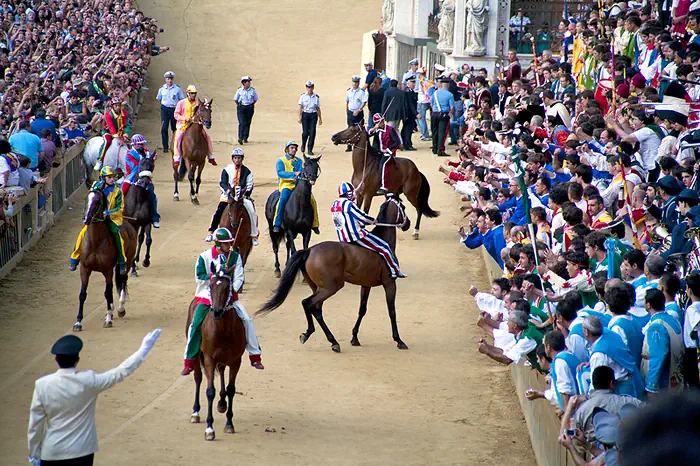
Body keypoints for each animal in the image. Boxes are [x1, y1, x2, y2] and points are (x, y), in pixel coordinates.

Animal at [73, 187, 136, 330]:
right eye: (86, 198)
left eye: (97, 201)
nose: (86, 219)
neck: (96, 242)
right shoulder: (85, 268)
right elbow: (82, 294)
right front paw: (78, 322)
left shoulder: (107, 269)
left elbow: (107, 292)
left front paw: (108, 320)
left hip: (128, 261)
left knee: (123, 280)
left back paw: (120, 308)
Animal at [186, 262, 246, 440]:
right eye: (211, 286)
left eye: (227, 287)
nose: (218, 310)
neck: (223, 330)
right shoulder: (209, 358)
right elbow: (210, 391)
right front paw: (209, 428)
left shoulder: (236, 360)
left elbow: (231, 389)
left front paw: (229, 423)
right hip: (198, 355)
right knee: (198, 378)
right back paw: (196, 412)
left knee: (221, 373)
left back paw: (221, 403)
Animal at [258, 195, 410, 352]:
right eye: (403, 207)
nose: (408, 224)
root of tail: (309, 250)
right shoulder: (389, 283)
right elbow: (392, 311)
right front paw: (398, 340)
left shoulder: (366, 285)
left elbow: (362, 309)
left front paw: (354, 337)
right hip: (330, 288)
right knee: (307, 303)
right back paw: (325, 338)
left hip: (318, 287)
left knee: (316, 309)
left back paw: (323, 338)